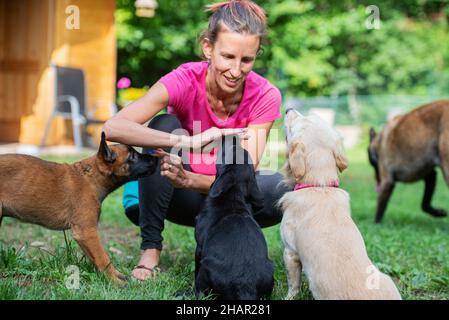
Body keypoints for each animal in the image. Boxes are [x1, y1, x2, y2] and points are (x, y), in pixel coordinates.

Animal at [0, 133, 158, 284]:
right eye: (132, 156)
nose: (156, 158)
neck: (91, 178)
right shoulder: (86, 232)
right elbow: (103, 257)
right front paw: (115, 282)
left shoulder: (85, 236)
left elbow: (96, 258)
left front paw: (116, 275)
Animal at [194, 135, 274, 300]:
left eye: (227, 150)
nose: (234, 136)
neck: (232, 196)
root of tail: (246, 287)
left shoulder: (199, 247)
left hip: (206, 267)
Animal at [278, 109, 400, 300]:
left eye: (298, 120)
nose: (288, 109)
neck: (319, 186)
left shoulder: (290, 252)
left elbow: (293, 284)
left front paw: (289, 297)